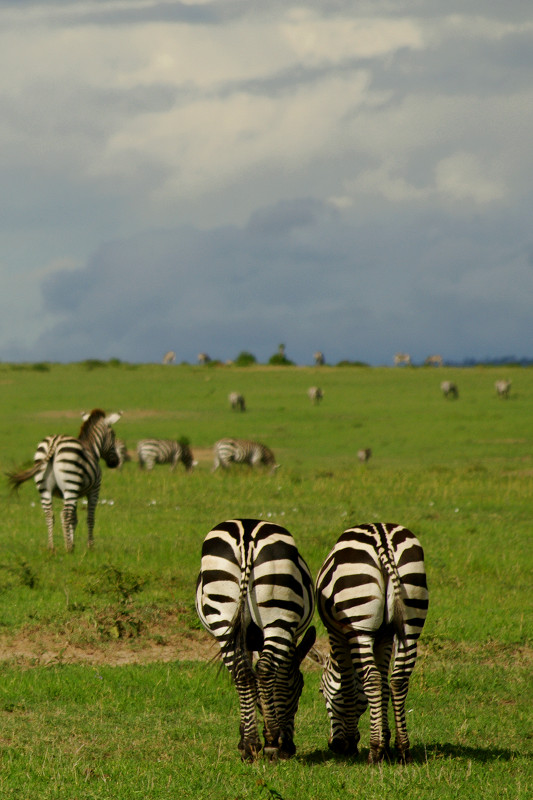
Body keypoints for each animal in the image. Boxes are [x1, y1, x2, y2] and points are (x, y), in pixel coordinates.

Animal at [6, 410, 122, 552]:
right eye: (113, 434)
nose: (115, 462)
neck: (92, 447)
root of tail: (54, 442)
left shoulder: (72, 493)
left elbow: (74, 519)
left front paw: (73, 541)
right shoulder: (94, 489)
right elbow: (89, 518)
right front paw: (90, 546)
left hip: (46, 487)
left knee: (49, 514)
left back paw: (51, 547)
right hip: (71, 484)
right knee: (65, 514)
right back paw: (68, 549)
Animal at [194, 520, 316, 764]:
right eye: (299, 688)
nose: (290, 749)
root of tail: (247, 536)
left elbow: (250, 680)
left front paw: (244, 737)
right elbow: (268, 680)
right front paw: (273, 741)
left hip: (223, 616)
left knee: (241, 672)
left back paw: (250, 746)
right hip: (279, 615)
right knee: (266, 669)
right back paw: (271, 740)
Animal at [316, 520, 428, 764]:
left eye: (321, 691)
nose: (333, 745)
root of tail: (383, 540)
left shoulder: (337, 635)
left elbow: (350, 687)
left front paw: (354, 744)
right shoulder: (385, 637)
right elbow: (385, 685)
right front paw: (386, 741)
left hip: (359, 624)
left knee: (374, 679)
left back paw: (375, 751)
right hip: (411, 618)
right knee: (398, 679)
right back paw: (403, 749)